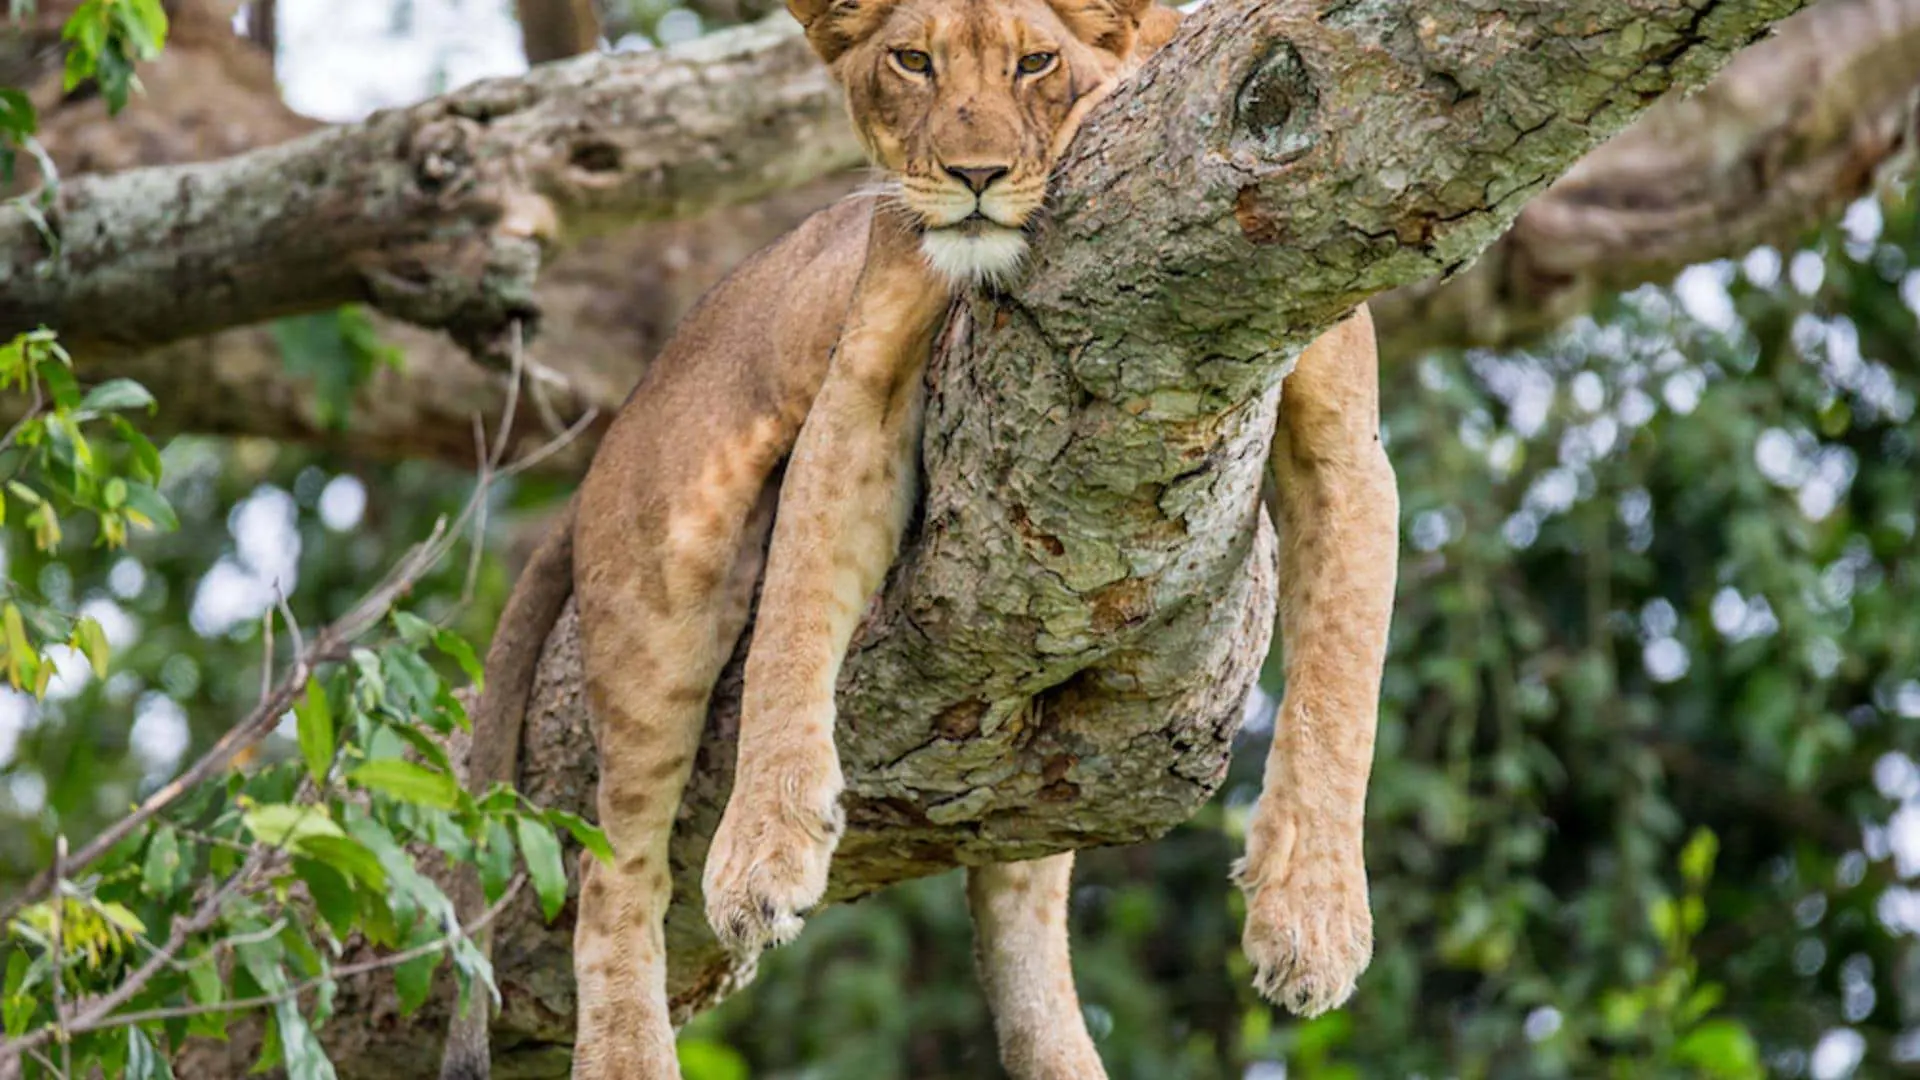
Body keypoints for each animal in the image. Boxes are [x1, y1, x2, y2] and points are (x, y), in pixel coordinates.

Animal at [441, 0, 1399, 1076]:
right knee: (615, 878)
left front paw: (1314, 921)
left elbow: (1340, 693)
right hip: (665, 578)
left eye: (1035, 63)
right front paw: (765, 847)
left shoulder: (1346, 446)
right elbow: (792, 622)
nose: (974, 175)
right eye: (912, 60)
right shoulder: (861, 386)